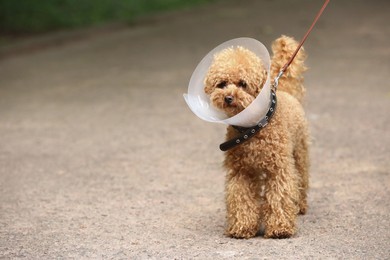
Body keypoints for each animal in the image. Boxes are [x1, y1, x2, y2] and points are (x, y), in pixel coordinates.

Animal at [203, 35, 310, 239]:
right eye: (222, 84)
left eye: (243, 84)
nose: (228, 97)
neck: (253, 128)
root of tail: (285, 91)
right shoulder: (241, 171)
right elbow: (241, 198)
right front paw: (242, 227)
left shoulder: (279, 168)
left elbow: (280, 195)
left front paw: (279, 228)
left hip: (299, 152)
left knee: (301, 178)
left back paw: (300, 206)